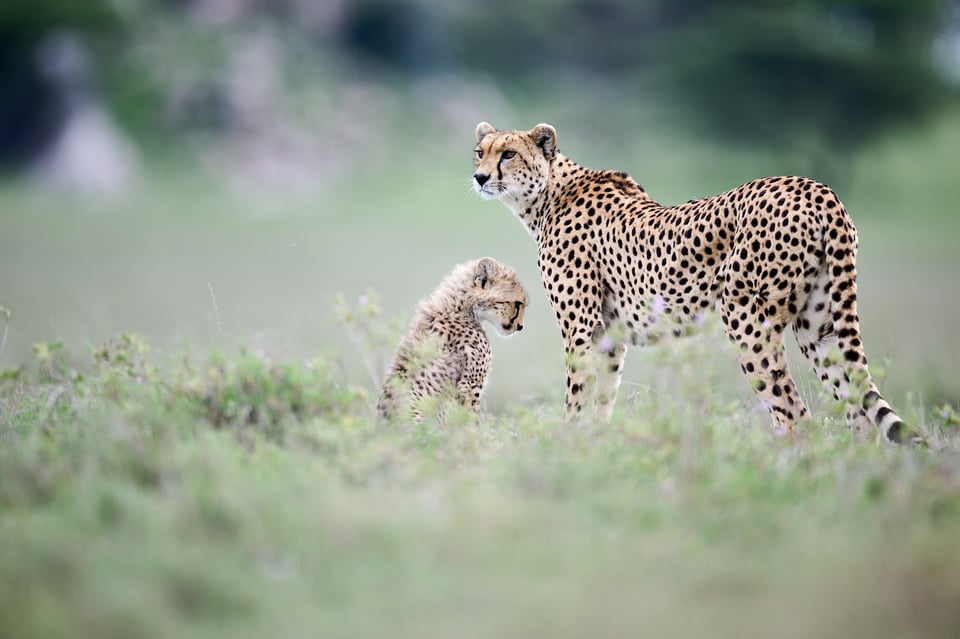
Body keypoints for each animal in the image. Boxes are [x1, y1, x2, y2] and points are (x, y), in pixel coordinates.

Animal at [476, 120, 912, 442]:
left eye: (509, 154)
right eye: (481, 152)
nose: (479, 177)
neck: (548, 194)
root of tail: (815, 187)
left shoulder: (581, 329)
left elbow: (576, 396)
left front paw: (568, 447)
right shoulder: (609, 334)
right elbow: (601, 399)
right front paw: (593, 446)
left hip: (746, 318)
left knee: (794, 413)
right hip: (820, 326)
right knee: (857, 414)